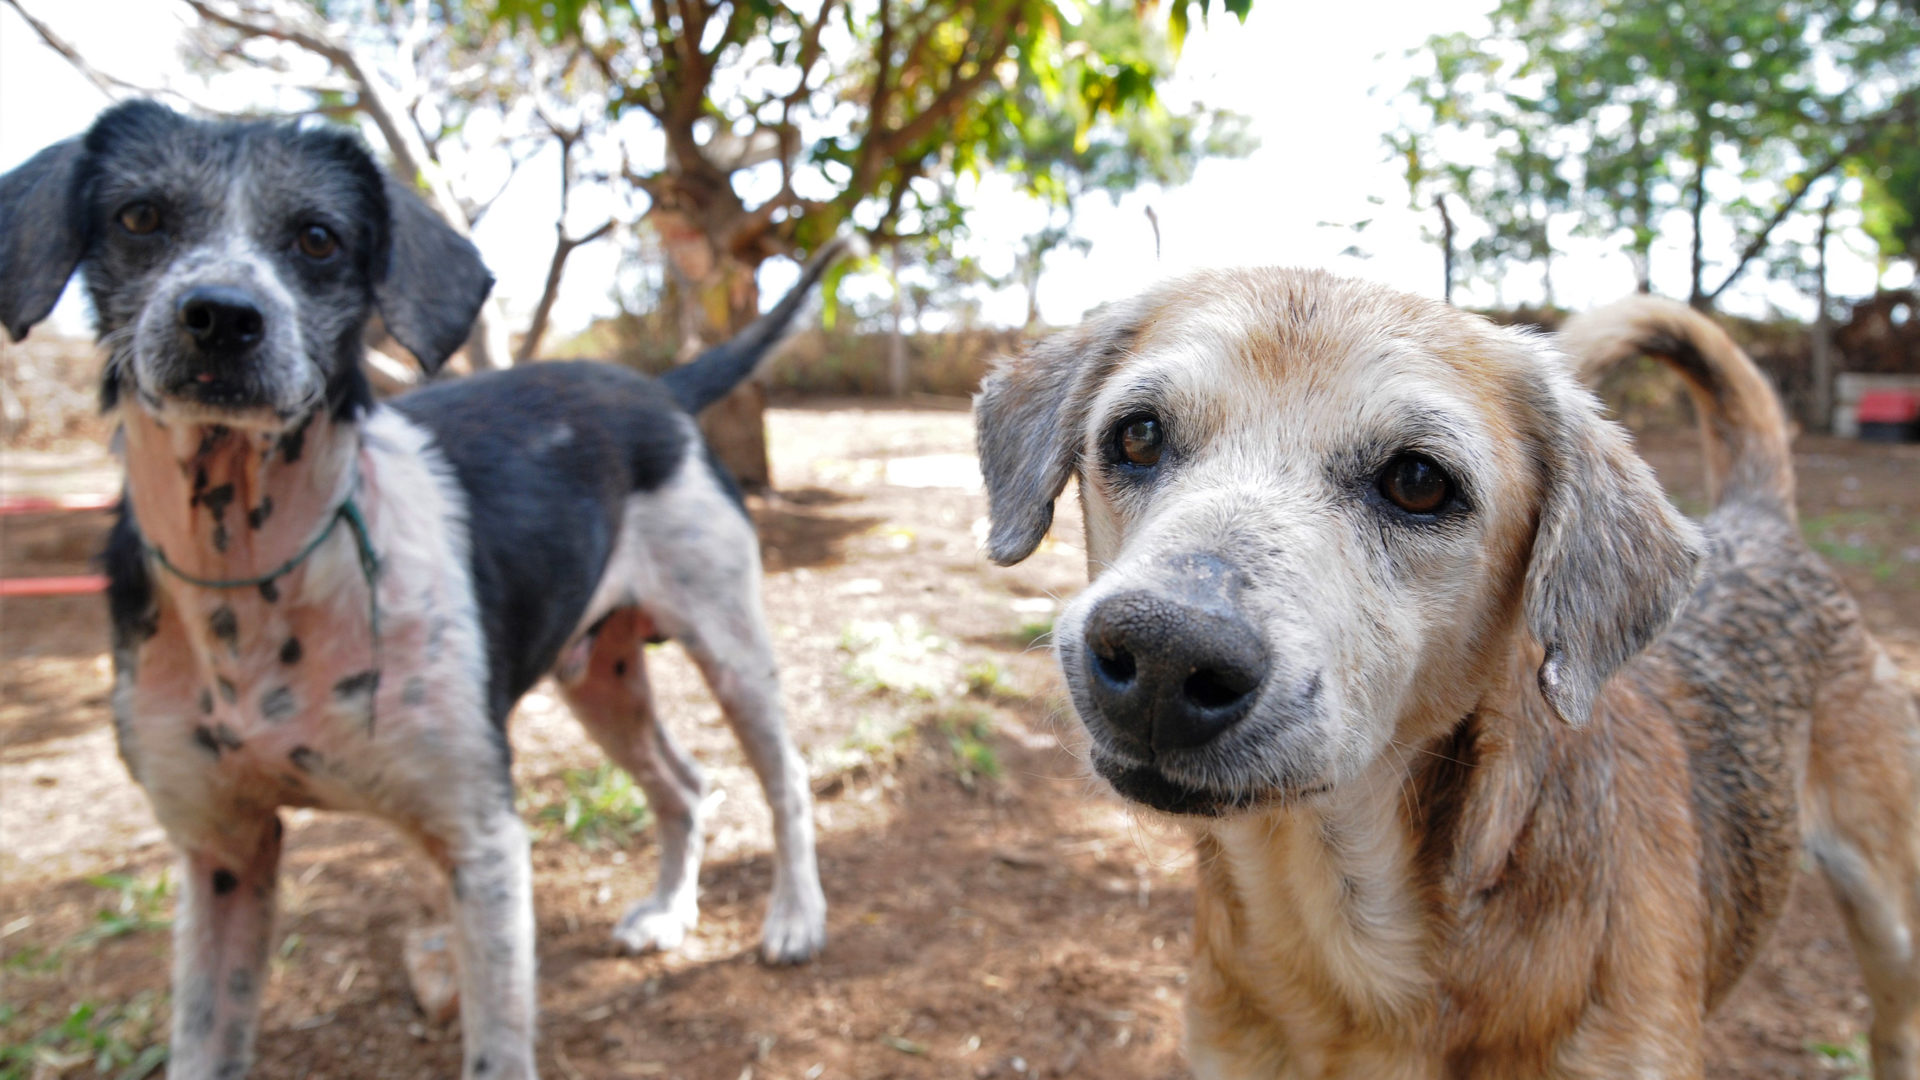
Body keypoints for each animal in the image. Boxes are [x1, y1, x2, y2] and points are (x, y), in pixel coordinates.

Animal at [3, 100, 837, 1076]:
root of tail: (659, 387)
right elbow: (205, 1042)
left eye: (319, 238)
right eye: (138, 217)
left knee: (785, 779)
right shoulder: (221, 851)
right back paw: (669, 913)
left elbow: (497, 1048)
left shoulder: (484, 843)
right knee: (685, 784)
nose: (221, 317)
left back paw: (795, 918)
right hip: (601, 677)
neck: (254, 570)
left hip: (731, 647)